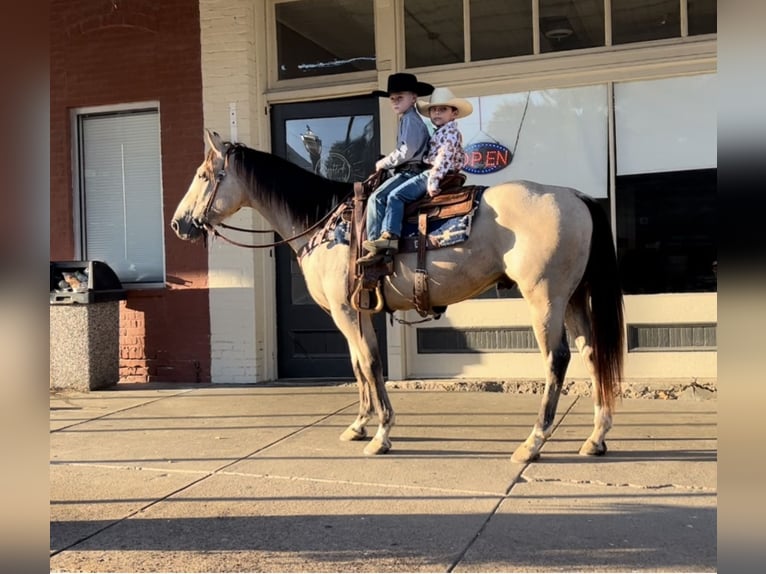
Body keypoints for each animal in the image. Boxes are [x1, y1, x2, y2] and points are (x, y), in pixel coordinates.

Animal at [171, 129, 624, 463]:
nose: (178, 224)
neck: (327, 222)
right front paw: (359, 425)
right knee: (591, 352)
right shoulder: (354, 313)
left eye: (203, 176)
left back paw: (532, 443)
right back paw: (596, 437)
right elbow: (358, 366)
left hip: (545, 297)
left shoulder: (346, 311)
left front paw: (382, 433)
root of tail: (575, 196)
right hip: (571, 298)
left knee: (557, 359)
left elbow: (371, 364)